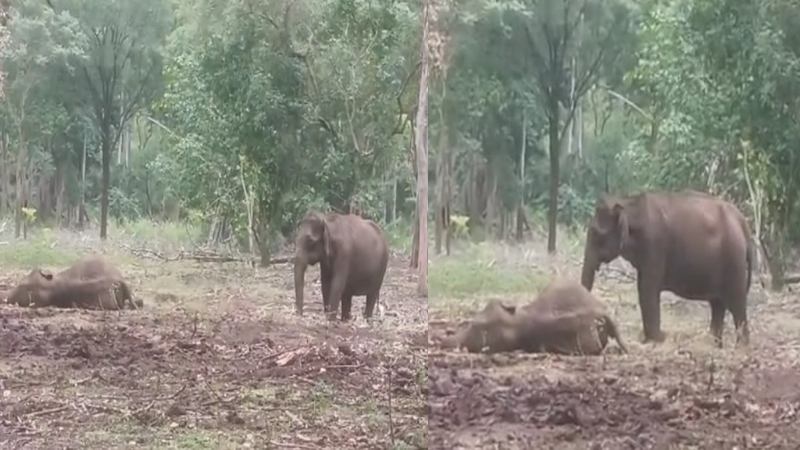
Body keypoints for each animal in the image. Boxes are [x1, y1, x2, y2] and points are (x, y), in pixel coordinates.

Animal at [580, 191, 753, 348]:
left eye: (596, 233)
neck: (628, 204)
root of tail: (742, 222)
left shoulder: (654, 246)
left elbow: (647, 289)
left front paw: (654, 341)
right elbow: (642, 288)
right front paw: (651, 340)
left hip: (734, 261)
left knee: (737, 305)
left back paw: (741, 348)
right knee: (718, 305)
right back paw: (713, 346)